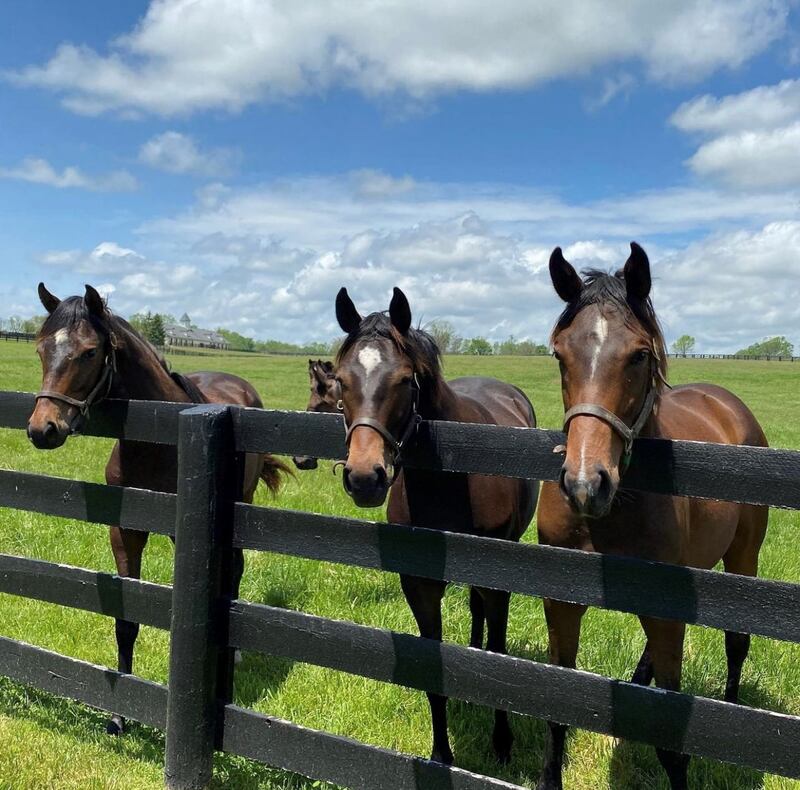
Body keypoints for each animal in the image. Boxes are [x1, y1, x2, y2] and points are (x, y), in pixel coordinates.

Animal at [26, 284, 290, 736]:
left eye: (90, 352)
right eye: (42, 348)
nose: (43, 429)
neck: (156, 442)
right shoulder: (125, 532)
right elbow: (126, 618)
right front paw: (119, 715)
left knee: (236, 569)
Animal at [332, 290, 536, 768]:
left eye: (405, 380)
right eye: (340, 379)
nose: (364, 477)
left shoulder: (497, 576)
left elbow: (499, 656)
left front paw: (502, 744)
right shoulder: (418, 585)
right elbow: (434, 671)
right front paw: (441, 753)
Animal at [536, 243, 768, 790]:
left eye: (639, 355)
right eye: (559, 354)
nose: (585, 484)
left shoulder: (666, 615)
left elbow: (672, 745)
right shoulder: (561, 604)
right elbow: (557, 709)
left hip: (744, 558)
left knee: (738, 642)